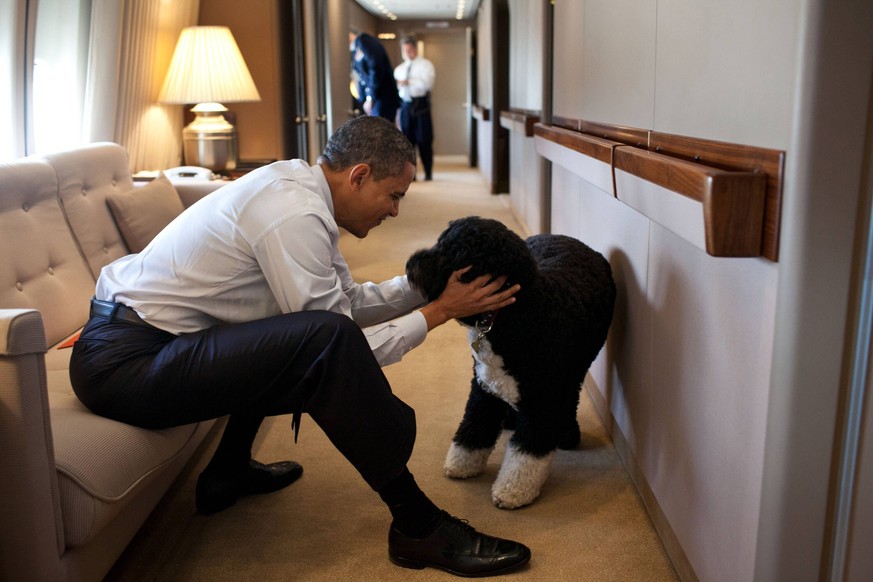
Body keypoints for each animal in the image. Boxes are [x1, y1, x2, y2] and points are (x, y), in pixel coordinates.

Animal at [408, 217, 616, 508]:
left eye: (455, 253)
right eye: (440, 241)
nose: (412, 263)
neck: (519, 314)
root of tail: (565, 237)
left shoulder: (543, 399)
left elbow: (527, 454)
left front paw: (513, 490)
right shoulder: (483, 386)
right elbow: (474, 426)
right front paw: (462, 464)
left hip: (575, 368)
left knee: (571, 397)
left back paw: (565, 432)